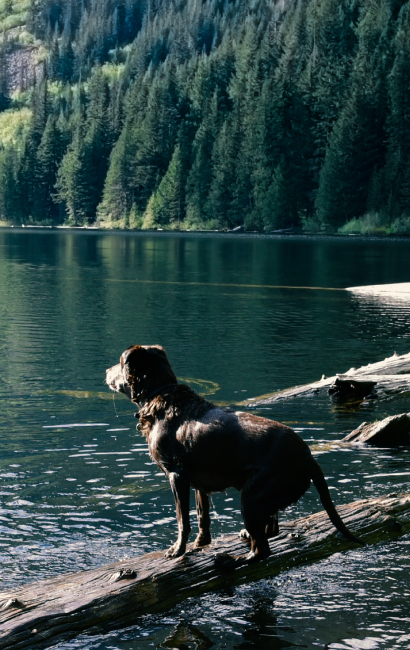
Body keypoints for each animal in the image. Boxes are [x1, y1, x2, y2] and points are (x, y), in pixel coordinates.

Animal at [105, 344, 362, 560]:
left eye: (119, 362)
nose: (106, 370)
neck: (161, 394)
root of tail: (308, 457)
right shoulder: (198, 482)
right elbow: (202, 516)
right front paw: (200, 543)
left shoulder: (177, 475)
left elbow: (182, 520)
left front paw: (177, 550)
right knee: (270, 528)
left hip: (252, 494)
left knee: (262, 549)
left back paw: (235, 560)